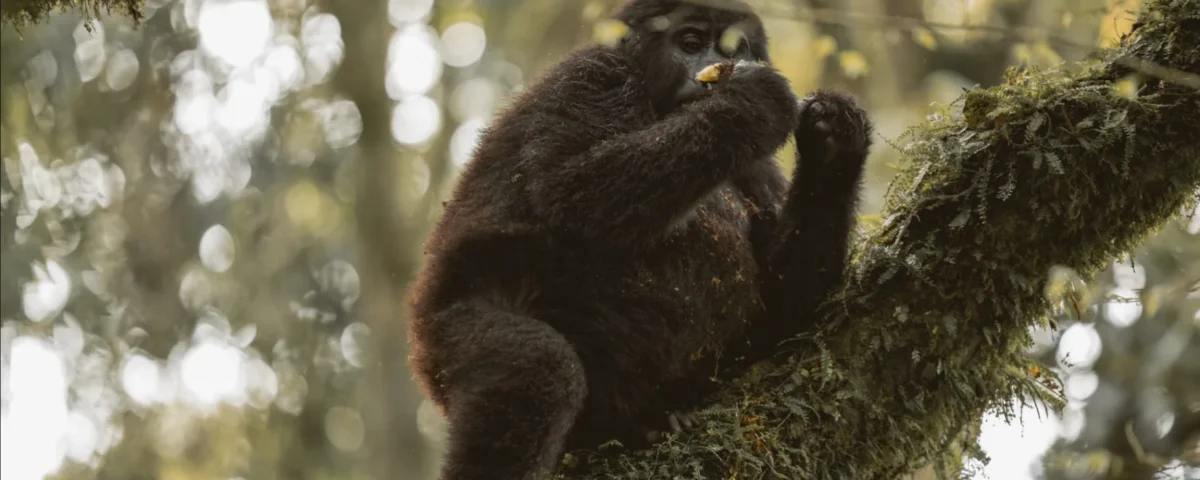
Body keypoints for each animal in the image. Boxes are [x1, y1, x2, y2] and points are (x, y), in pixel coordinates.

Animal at [406, 0, 873, 478]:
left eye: (734, 48)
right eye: (690, 43)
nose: (711, 67)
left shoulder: (759, 169)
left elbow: (783, 308)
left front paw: (836, 142)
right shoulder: (589, 75)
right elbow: (569, 188)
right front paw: (751, 105)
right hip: (438, 336)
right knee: (538, 367)